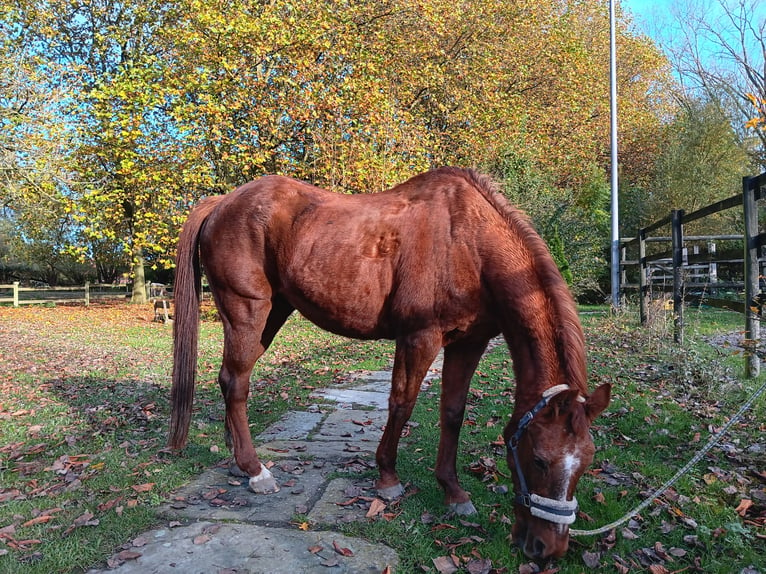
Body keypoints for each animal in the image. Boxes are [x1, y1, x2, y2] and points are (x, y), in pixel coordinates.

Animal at [170, 166, 612, 564]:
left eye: (586, 463)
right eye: (539, 459)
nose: (547, 550)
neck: (467, 242)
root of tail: (221, 203)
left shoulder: (468, 343)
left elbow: (452, 413)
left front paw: (454, 492)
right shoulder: (419, 337)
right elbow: (402, 403)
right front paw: (387, 478)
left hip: (272, 314)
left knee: (231, 381)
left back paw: (236, 458)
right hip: (247, 312)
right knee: (235, 382)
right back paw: (255, 470)